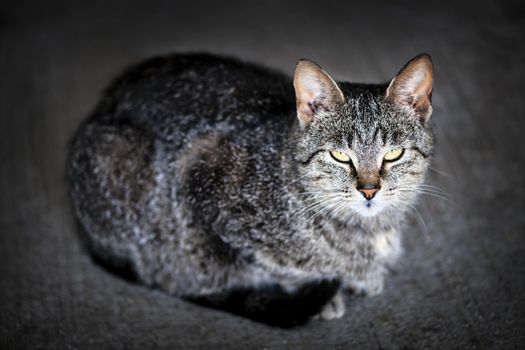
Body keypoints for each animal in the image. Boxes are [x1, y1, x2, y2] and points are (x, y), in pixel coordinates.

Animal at [66, 52, 434, 326]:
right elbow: (271, 263)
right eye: (340, 156)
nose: (369, 190)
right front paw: (332, 286)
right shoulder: (201, 173)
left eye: (394, 153)